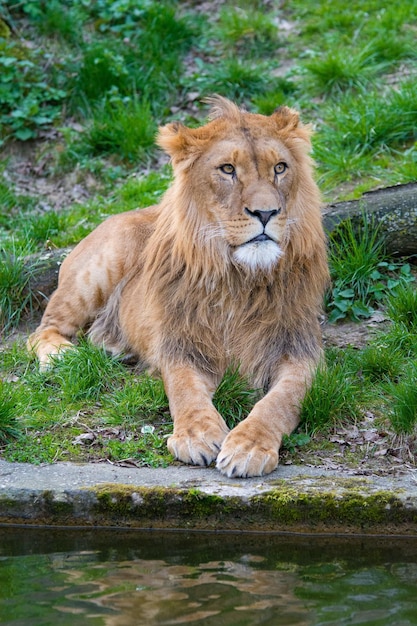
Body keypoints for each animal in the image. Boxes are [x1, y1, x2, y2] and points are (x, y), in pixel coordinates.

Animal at [27, 95, 330, 478]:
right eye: (227, 169)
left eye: (279, 168)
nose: (266, 213)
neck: (239, 280)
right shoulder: (181, 346)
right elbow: (185, 390)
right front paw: (196, 435)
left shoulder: (301, 350)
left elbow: (281, 400)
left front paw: (248, 446)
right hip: (101, 266)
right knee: (42, 329)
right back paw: (63, 356)